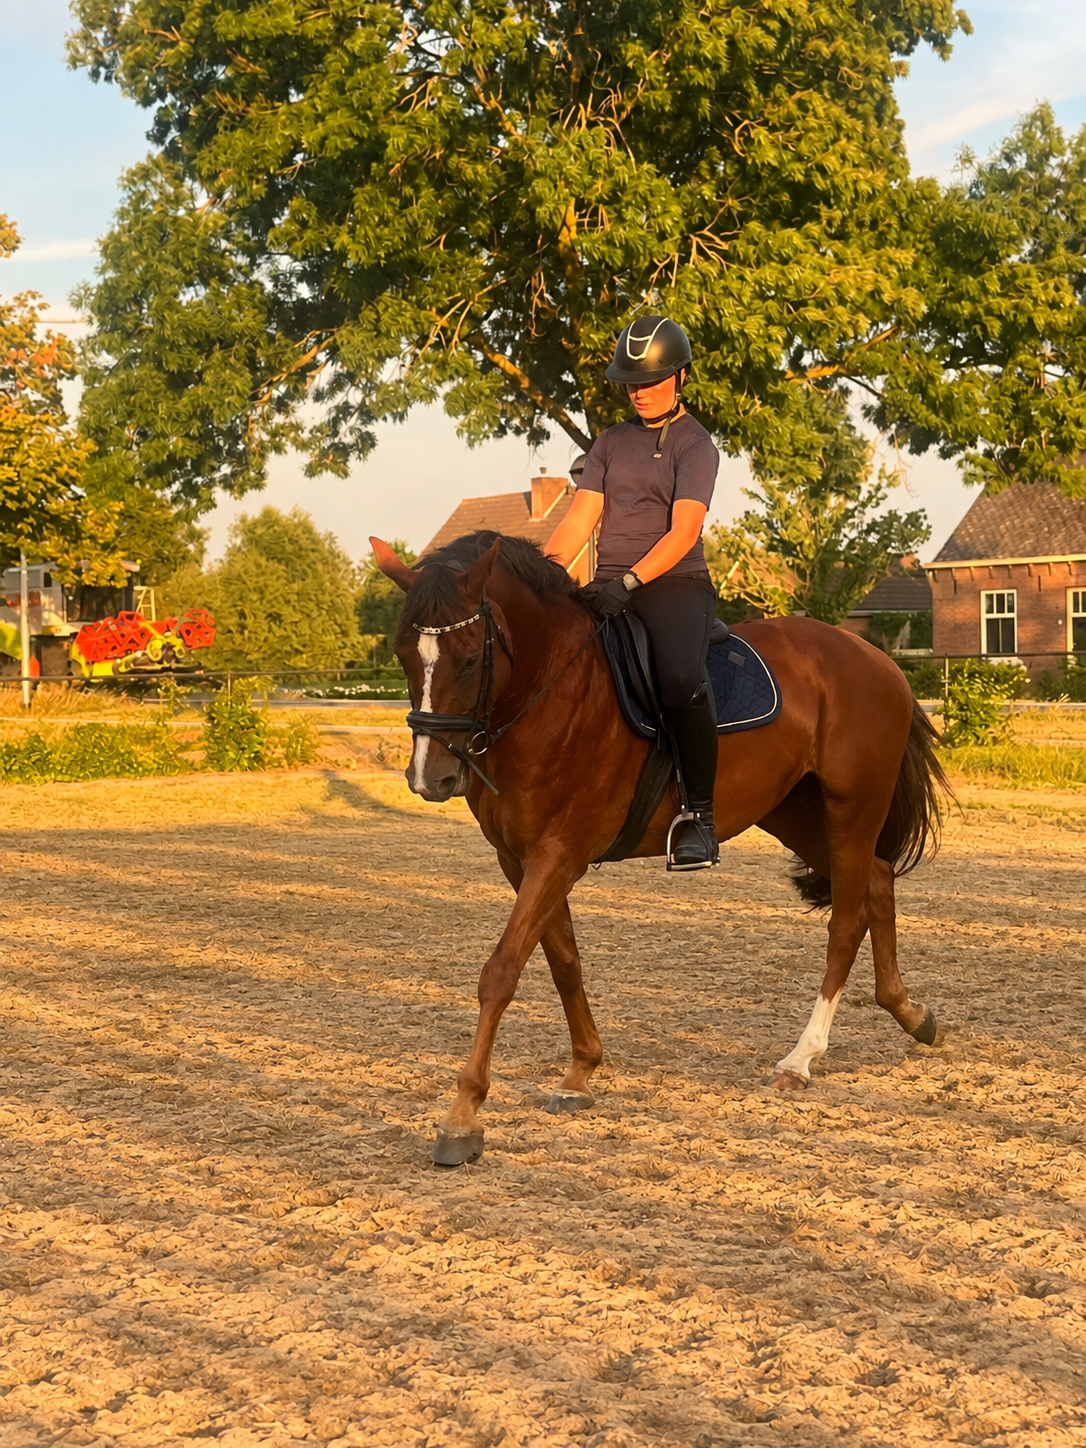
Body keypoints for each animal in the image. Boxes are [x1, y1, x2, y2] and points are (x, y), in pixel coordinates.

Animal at [372, 530, 949, 1166]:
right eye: (403, 654)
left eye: (472, 658)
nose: (431, 778)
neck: (552, 687)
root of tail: (876, 660)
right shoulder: (521, 859)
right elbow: (563, 960)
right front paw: (580, 1073)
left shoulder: (559, 853)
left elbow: (501, 970)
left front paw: (462, 1118)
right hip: (794, 813)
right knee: (878, 881)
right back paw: (912, 1014)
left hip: (851, 809)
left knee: (847, 920)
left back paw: (801, 1059)